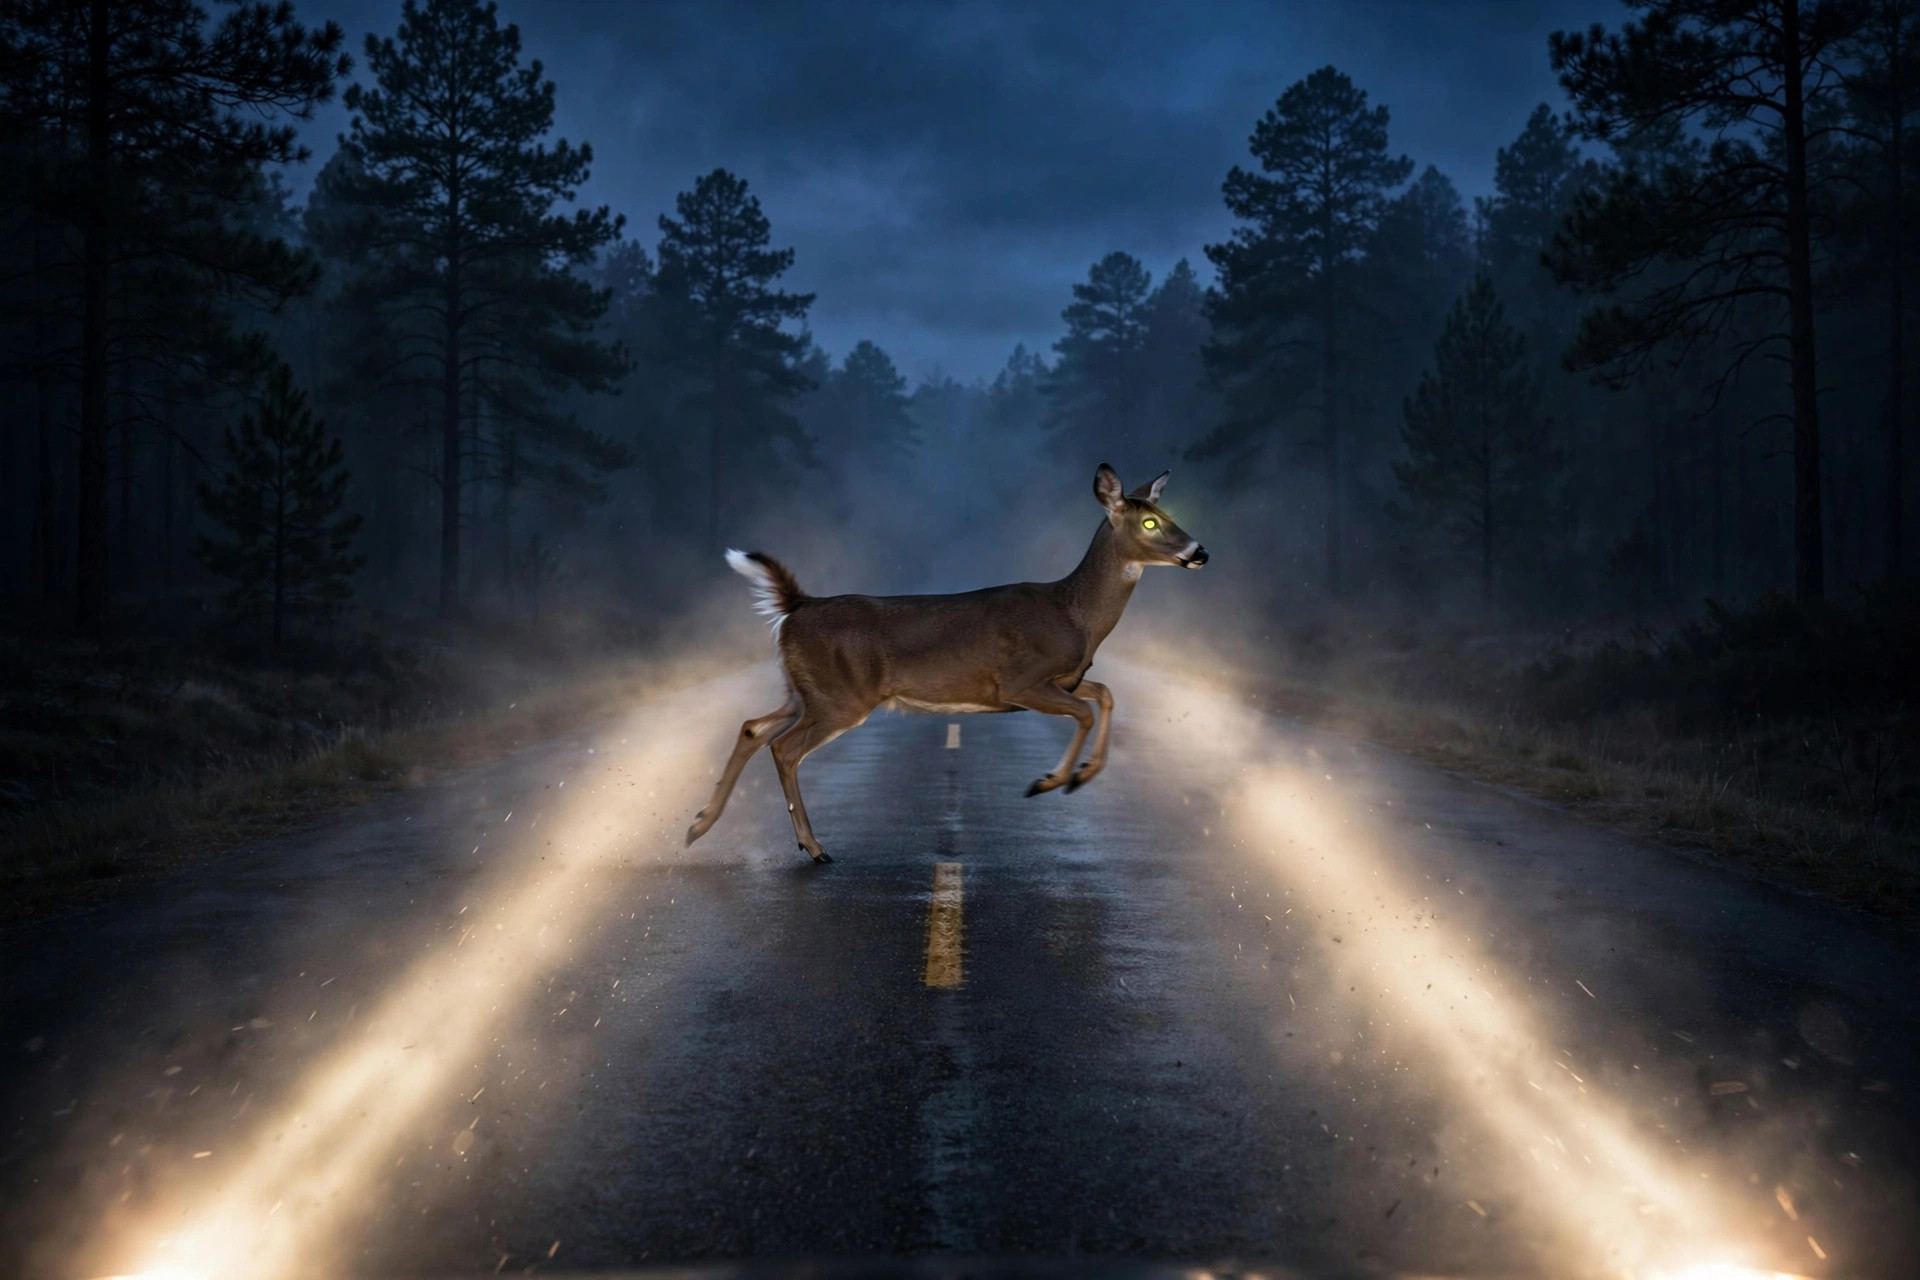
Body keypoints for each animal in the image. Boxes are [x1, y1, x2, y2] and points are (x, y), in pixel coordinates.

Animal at [685, 463, 1207, 863]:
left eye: (1167, 514)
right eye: (1149, 524)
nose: (1199, 551)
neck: (1073, 613)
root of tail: (796, 607)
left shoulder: (1066, 679)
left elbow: (1105, 695)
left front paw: (1079, 774)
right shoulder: (1019, 682)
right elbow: (1085, 710)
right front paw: (1054, 780)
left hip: (803, 691)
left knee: (753, 728)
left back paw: (699, 825)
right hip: (839, 698)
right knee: (785, 748)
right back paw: (813, 848)